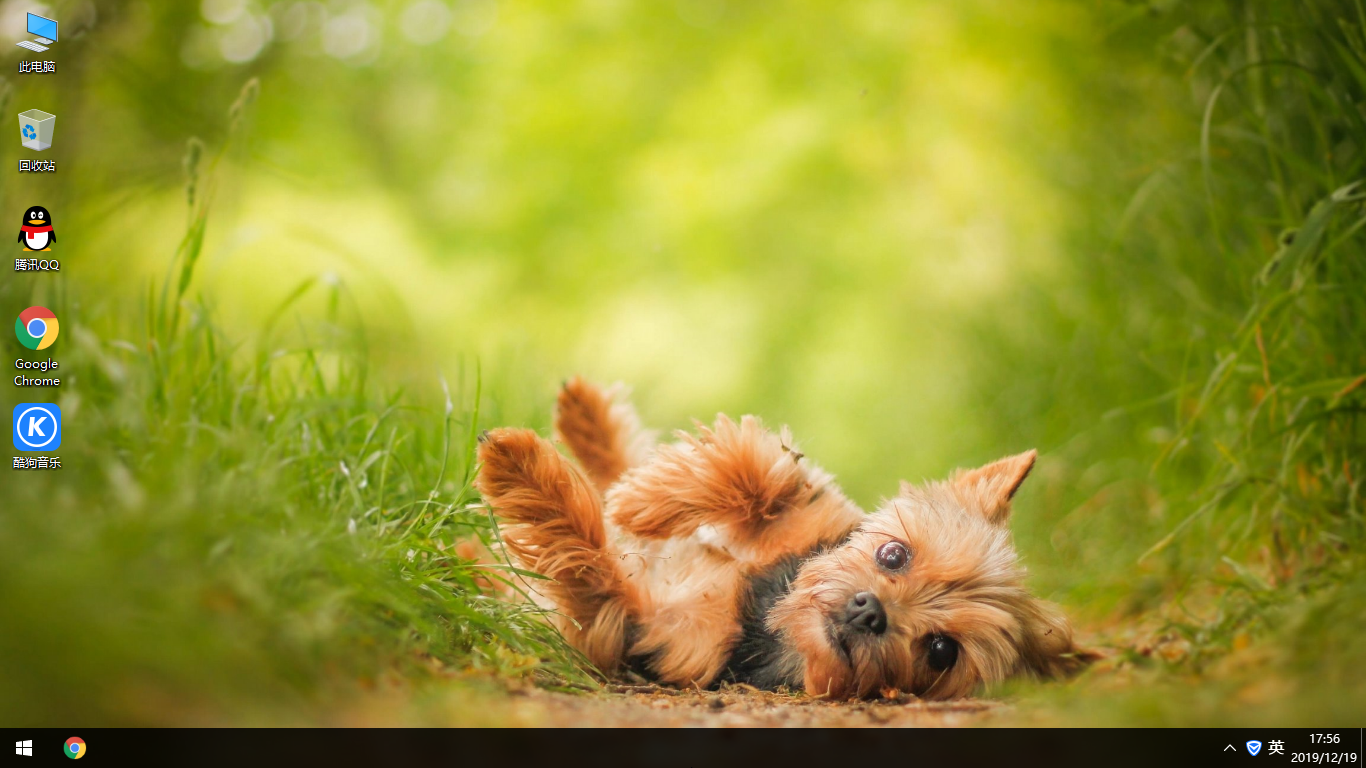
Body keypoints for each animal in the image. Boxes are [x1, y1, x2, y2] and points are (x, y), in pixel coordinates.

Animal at [475, 377, 1092, 699]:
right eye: (894, 554)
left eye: (941, 652)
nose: (871, 612)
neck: (764, 614)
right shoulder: (805, 514)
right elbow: (762, 473)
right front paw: (645, 501)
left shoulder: (629, 626)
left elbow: (586, 558)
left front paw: (519, 467)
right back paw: (586, 417)